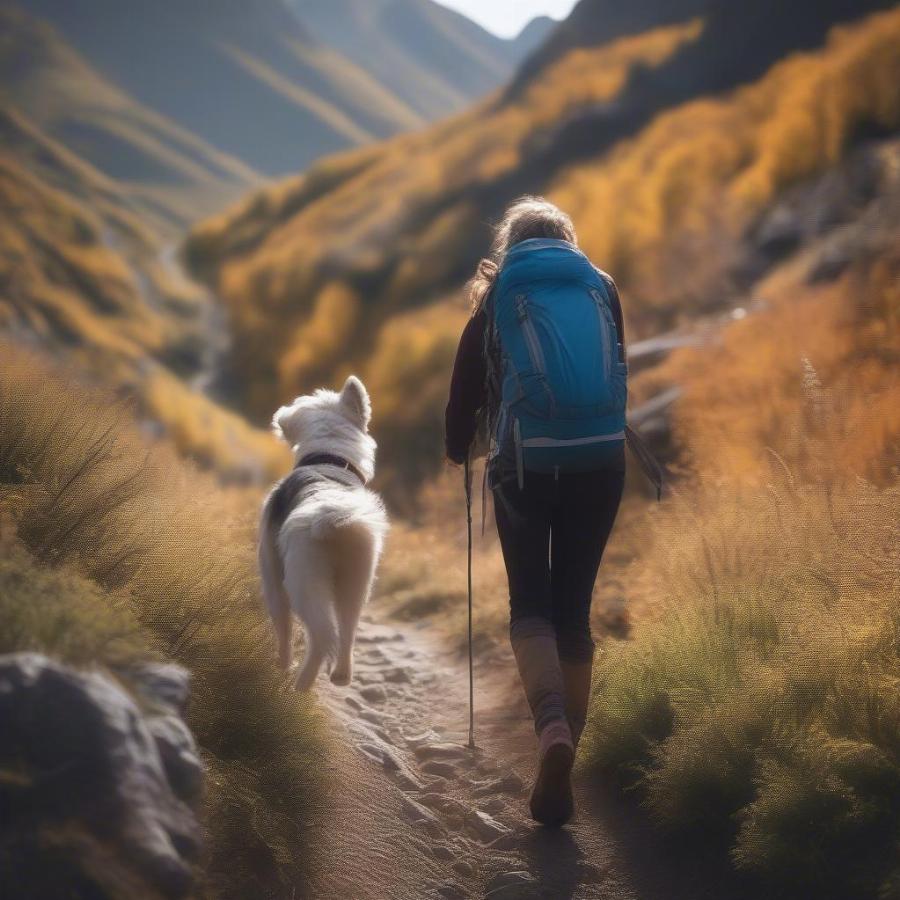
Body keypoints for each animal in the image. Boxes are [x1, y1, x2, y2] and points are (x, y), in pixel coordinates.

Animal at [258, 376, 388, 692]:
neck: (329, 459)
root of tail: (335, 521)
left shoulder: (271, 570)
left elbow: (282, 625)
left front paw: (281, 664)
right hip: (357, 581)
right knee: (347, 629)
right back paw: (341, 675)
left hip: (303, 581)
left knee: (320, 636)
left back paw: (301, 683)